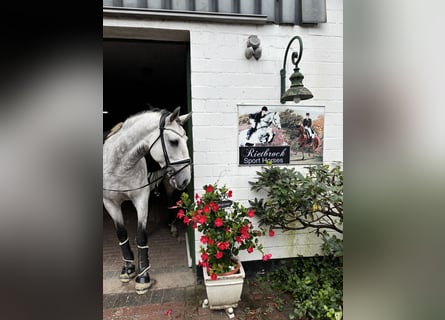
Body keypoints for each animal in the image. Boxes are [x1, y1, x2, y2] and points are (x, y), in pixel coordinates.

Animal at [103, 108, 192, 296]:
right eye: (174, 142)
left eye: (187, 140)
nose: (186, 179)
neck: (118, 165)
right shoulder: (109, 203)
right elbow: (121, 234)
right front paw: (128, 268)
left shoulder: (141, 199)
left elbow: (141, 236)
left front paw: (143, 277)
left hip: (169, 182)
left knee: (170, 203)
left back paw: (173, 227)